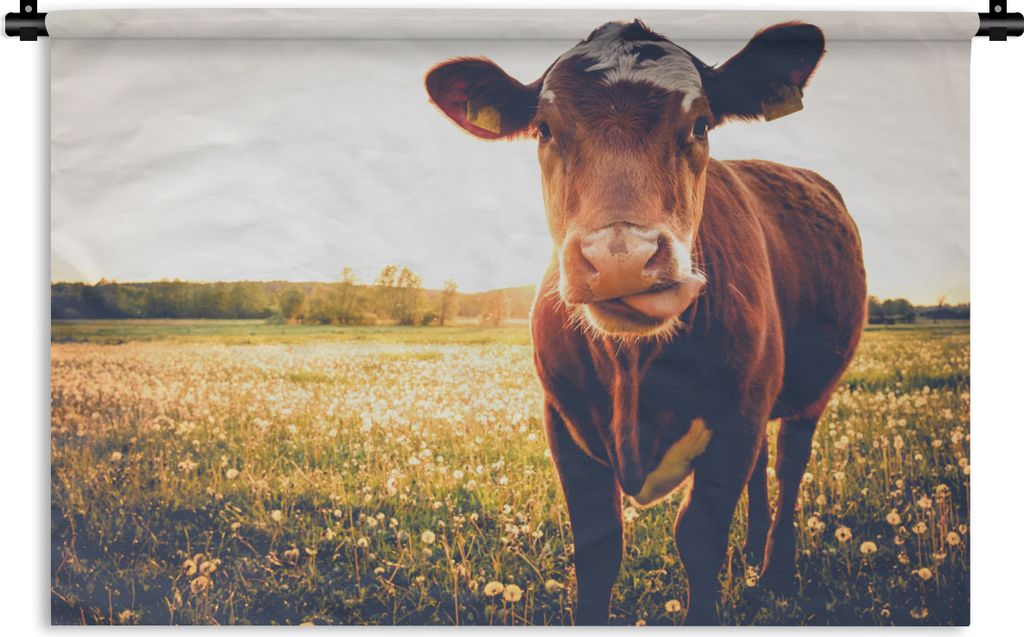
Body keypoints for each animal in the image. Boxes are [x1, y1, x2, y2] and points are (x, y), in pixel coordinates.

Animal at [425, 20, 866, 625]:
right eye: (544, 129)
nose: (621, 258)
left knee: (789, 466)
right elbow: (598, 545)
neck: (633, 368)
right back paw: (751, 552)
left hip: (809, 393)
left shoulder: (737, 420)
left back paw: (774, 571)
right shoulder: (563, 421)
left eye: (700, 123)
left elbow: (699, 537)